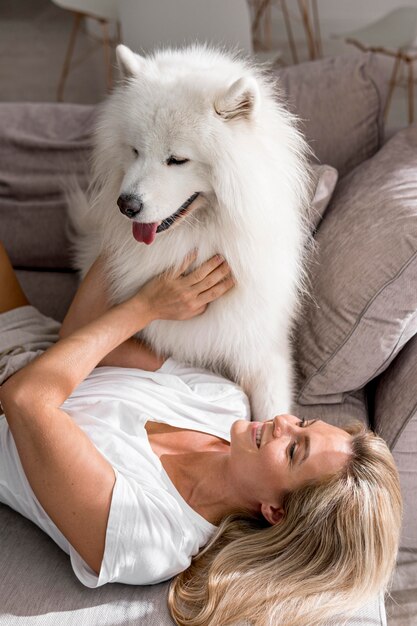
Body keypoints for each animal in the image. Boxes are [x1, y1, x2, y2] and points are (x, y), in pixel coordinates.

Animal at [72, 44, 312, 420]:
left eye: (177, 160)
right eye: (135, 150)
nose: (126, 205)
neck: (196, 239)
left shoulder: (260, 347)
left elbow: (272, 410)